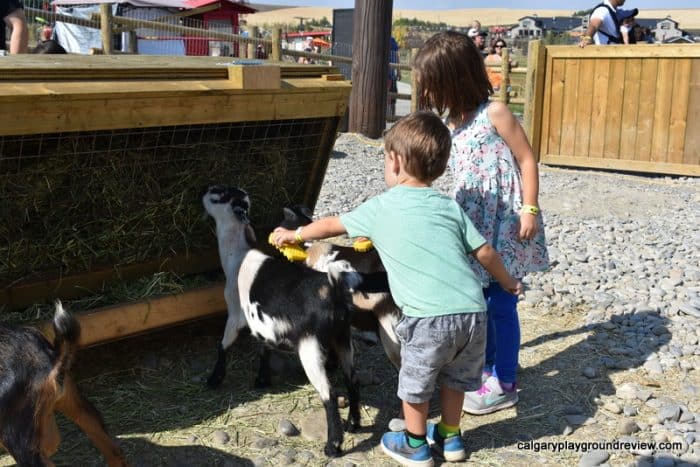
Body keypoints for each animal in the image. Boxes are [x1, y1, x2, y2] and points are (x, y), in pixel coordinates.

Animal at [202, 186, 360, 458]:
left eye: (218, 195)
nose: (204, 190)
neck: (237, 257)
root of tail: (332, 288)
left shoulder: (235, 315)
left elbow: (224, 345)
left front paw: (215, 379)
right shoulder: (262, 323)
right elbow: (263, 348)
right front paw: (262, 380)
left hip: (310, 347)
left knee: (328, 395)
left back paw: (333, 446)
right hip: (343, 338)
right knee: (352, 379)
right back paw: (353, 424)